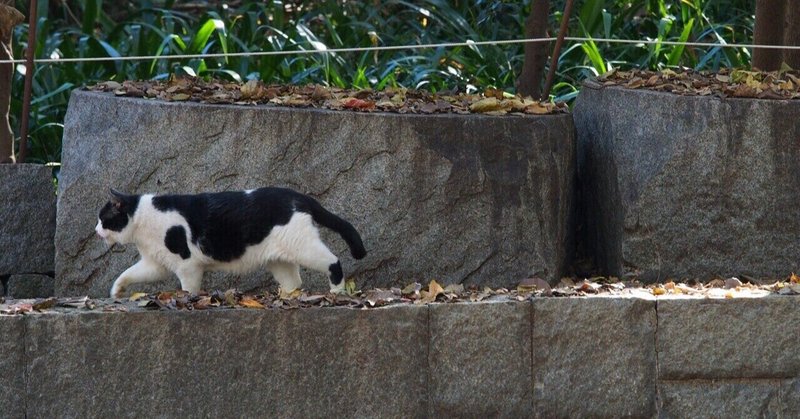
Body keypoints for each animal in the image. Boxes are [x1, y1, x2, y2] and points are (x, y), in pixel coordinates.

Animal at [95, 187, 368, 298]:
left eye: (103, 218)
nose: (96, 229)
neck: (143, 218)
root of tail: (300, 196)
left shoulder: (187, 266)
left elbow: (188, 289)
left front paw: (187, 301)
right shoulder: (155, 264)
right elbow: (128, 273)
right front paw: (116, 291)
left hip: (305, 248)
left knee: (333, 262)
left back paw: (336, 292)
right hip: (280, 260)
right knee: (294, 282)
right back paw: (286, 298)